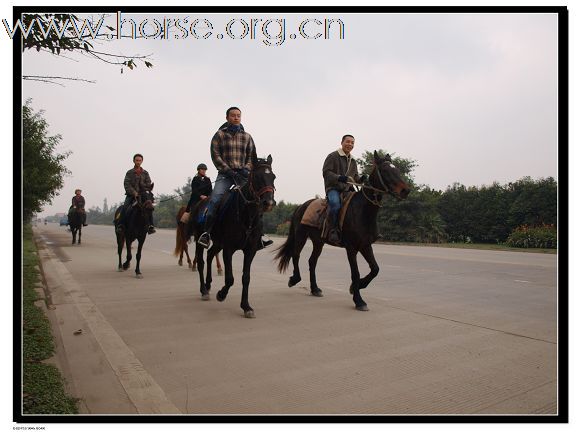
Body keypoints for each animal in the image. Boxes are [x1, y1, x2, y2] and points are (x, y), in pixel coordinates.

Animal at [187, 155, 276, 318]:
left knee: (210, 255)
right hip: (199, 239)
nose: (269, 202)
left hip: (218, 243)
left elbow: (246, 277)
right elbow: (229, 279)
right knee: (201, 261)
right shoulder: (228, 249)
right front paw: (221, 294)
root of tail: (200, 204)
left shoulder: (250, 250)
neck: (246, 214)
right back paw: (204, 290)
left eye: (273, 176)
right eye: (258, 177)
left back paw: (208, 284)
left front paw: (246, 306)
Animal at [274, 152, 410, 312]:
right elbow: (355, 273)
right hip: (301, 236)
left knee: (312, 261)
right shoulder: (351, 248)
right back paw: (294, 279)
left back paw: (315, 289)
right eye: (384, 170)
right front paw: (359, 300)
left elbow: (375, 269)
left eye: (397, 170)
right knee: (296, 255)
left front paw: (357, 287)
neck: (362, 211)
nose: (405, 190)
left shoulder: (365, 245)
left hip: (318, 242)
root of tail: (301, 206)